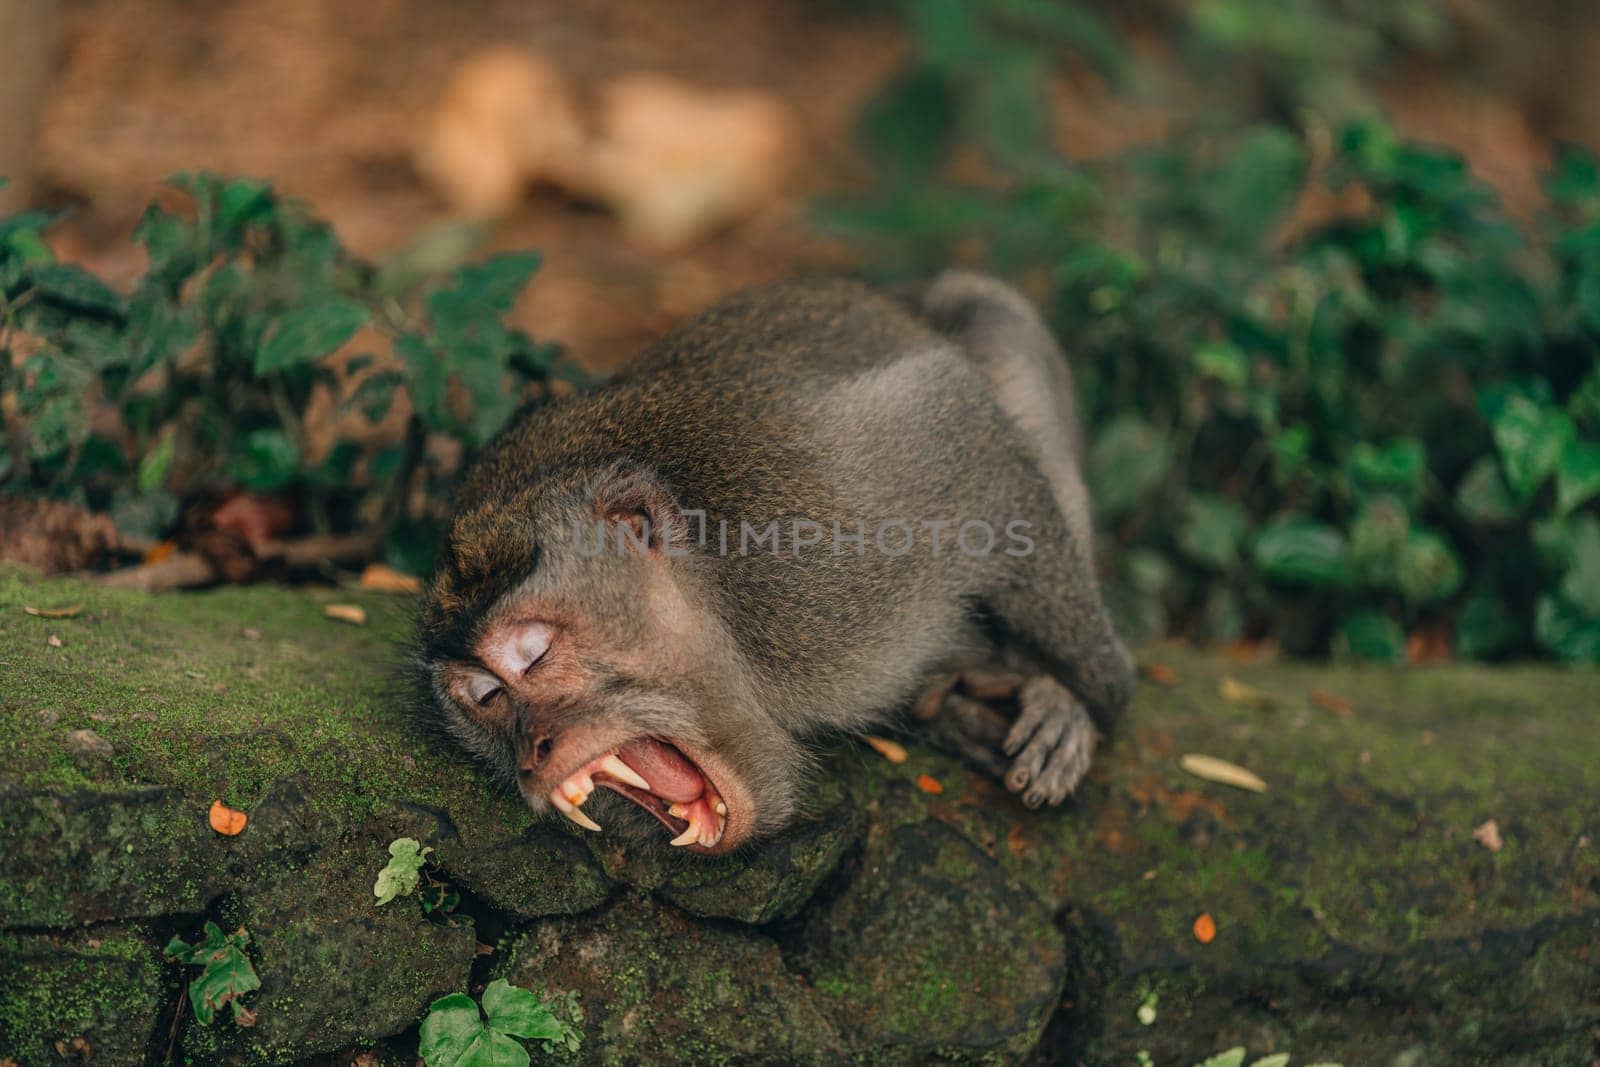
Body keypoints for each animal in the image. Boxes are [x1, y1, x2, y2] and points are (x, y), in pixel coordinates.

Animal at [419, 271, 1132, 857]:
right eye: (486, 698)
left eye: (534, 653)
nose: (531, 751)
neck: (730, 622)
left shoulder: (815, 550)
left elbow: (957, 414)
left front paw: (1089, 699)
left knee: (988, 311)